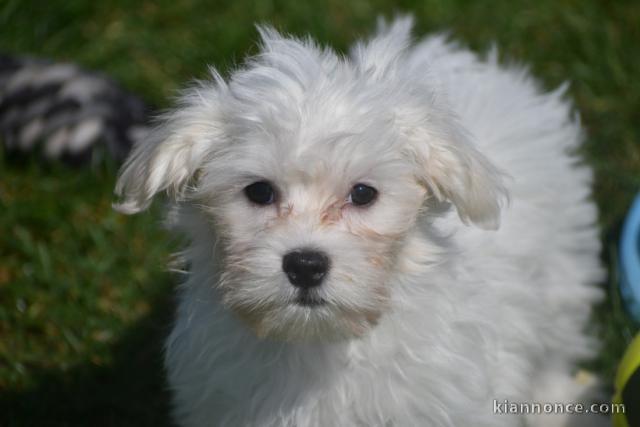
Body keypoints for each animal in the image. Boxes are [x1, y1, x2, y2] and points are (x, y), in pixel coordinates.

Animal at [114, 16, 604, 427]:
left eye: (363, 194)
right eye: (259, 192)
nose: (305, 265)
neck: (320, 344)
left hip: (561, 271)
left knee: (555, 346)